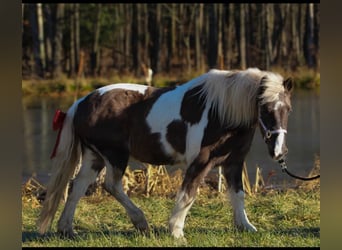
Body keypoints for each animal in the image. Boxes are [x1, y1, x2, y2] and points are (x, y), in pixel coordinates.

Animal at [38, 68, 294, 238]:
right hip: (114, 155)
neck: (221, 112)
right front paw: (176, 231)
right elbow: (188, 194)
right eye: (265, 108)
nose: (279, 151)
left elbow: (238, 195)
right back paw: (141, 222)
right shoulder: (200, 162)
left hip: (94, 157)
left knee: (78, 187)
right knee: (112, 185)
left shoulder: (233, 162)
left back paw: (66, 228)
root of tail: (80, 103)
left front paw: (246, 226)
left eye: (288, 109)